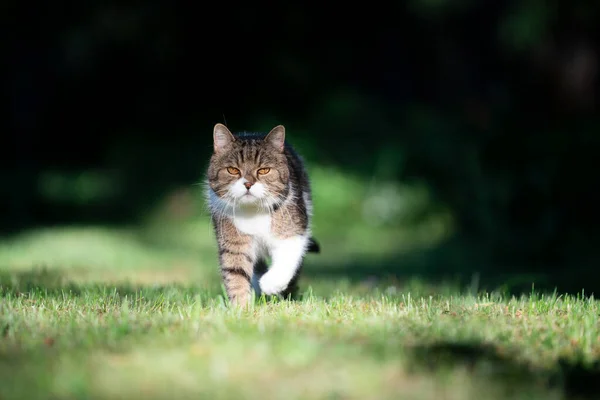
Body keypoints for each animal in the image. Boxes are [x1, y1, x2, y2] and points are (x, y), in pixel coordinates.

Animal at [205, 122, 318, 306]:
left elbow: (287, 257)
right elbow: (236, 273)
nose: (248, 183)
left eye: (264, 170)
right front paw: (241, 307)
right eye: (233, 170)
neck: (253, 211)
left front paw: (271, 284)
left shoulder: (294, 229)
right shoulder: (233, 242)